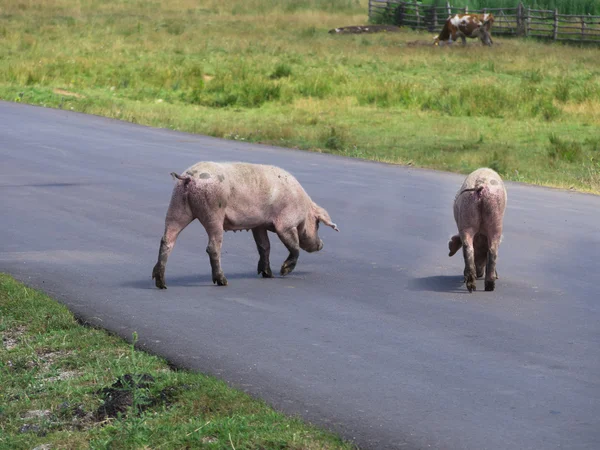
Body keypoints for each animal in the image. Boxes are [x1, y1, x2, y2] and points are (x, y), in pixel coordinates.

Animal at [151, 162, 338, 288]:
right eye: (318, 223)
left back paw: (161, 283)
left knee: (167, 240)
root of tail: (189, 177)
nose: (321, 244)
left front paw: (268, 275)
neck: (304, 206)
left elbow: (264, 247)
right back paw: (223, 281)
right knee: (212, 247)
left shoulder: (259, 225)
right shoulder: (285, 223)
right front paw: (282, 272)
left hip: (177, 205)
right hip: (213, 211)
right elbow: (294, 247)